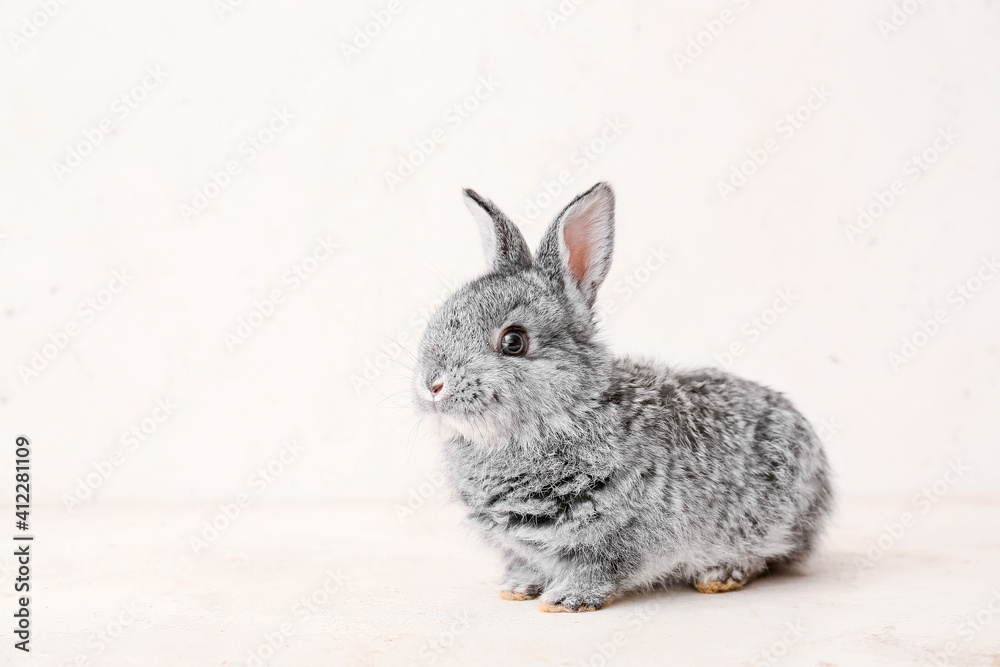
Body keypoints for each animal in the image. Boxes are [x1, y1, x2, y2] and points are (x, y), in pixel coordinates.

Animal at [412, 182, 833, 613]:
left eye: (514, 341)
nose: (431, 384)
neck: (565, 415)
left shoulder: (617, 537)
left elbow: (598, 568)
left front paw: (564, 600)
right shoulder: (520, 547)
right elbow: (526, 565)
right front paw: (516, 589)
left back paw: (719, 576)